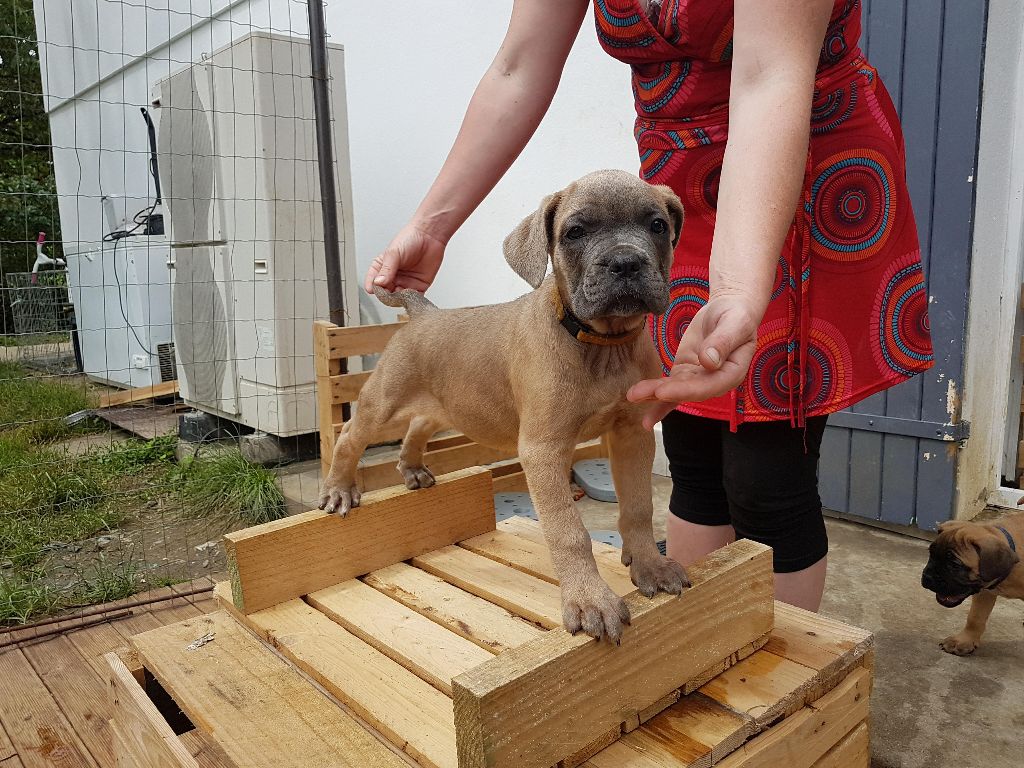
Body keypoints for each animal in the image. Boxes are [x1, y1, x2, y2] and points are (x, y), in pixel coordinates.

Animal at [319, 169, 688, 643]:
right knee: (352, 434)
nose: (625, 262)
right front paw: (589, 599)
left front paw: (650, 565)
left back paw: (413, 468)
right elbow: (569, 531)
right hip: (384, 402)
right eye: (575, 232)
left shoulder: (632, 435)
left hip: (449, 403)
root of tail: (423, 313)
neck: (600, 343)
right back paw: (339, 488)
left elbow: (639, 507)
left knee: (420, 423)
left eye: (658, 225)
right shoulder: (543, 450)